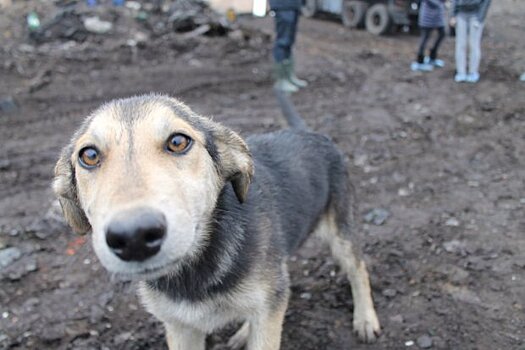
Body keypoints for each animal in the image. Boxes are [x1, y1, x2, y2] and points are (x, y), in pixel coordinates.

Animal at [53, 93, 378, 350]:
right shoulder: (179, 327)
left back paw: (365, 318)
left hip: (340, 230)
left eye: (178, 141)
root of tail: (309, 133)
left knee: (358, 269)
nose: (134, 236)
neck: (195, 269)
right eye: (89, 155)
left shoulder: (268, 311)